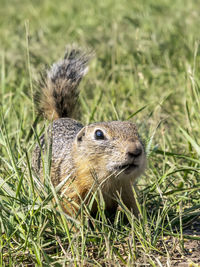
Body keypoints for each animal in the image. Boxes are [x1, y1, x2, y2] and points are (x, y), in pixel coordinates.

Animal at [32, 48, 146, 219]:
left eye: (136, 130)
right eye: (99, 134)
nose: (135, 150)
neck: (108, 181)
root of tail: (62, 118)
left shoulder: (126, 191)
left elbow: (132, 209)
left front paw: (142, 223)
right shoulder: (69, 191)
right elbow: (72, 213)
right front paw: (79, 226)